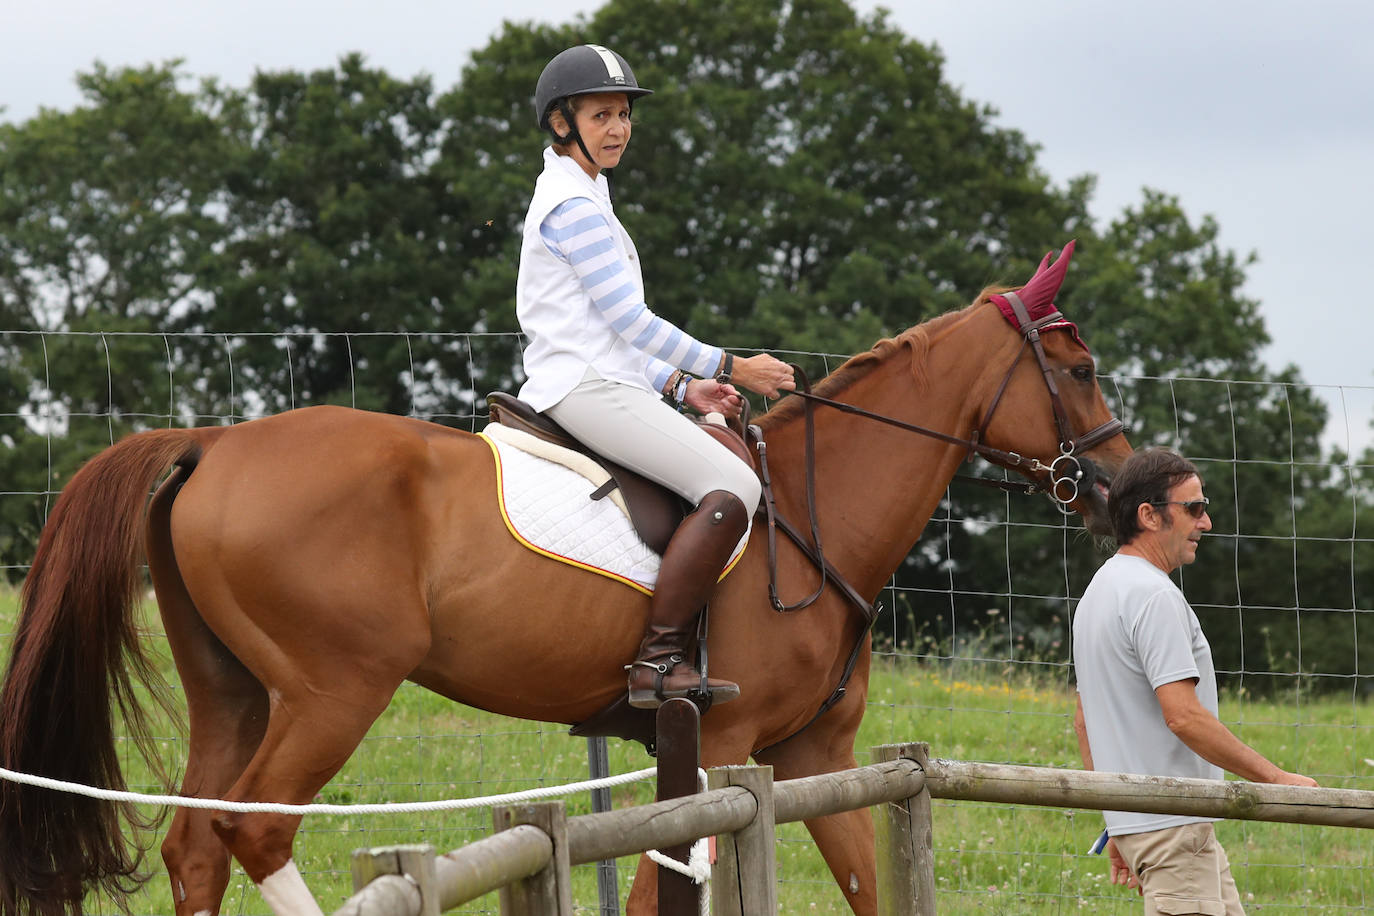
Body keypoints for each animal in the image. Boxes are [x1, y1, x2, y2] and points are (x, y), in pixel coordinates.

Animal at [0, 240, 1126, 911]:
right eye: (1077, 371)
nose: (1125, 482)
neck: (815, 513)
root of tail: (215, 442)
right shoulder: (718, 751)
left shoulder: (813, 756)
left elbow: (863, 885)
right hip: (334, 691)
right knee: (254, 830)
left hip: (233, 691)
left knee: (198, 844)